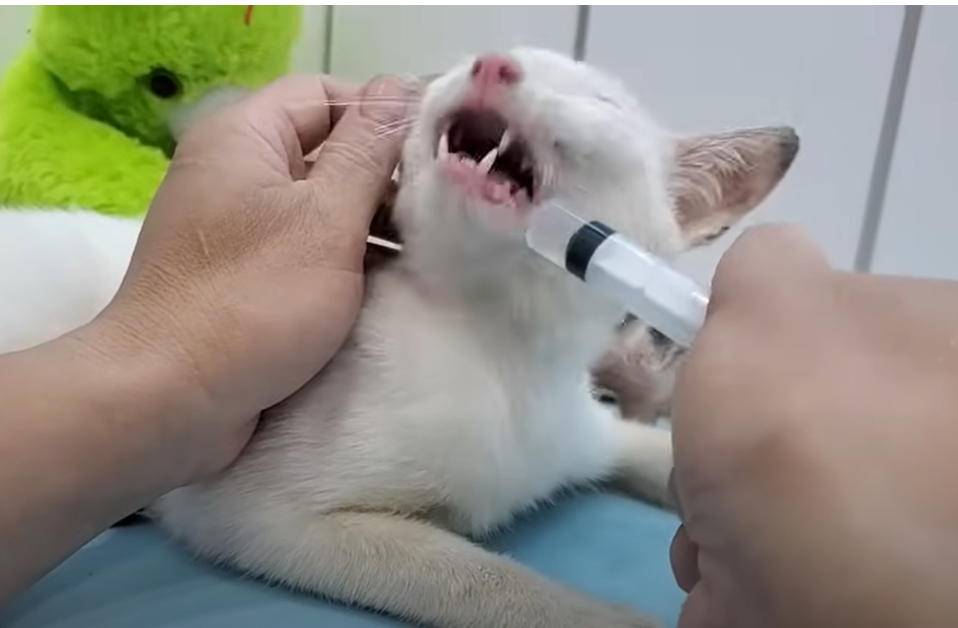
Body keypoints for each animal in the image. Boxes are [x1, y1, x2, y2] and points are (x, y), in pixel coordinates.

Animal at [0, 47, 800, 628]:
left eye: (602, 103)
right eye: (461, 66)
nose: (491, 64)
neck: (501, 345)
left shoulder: (585, 428)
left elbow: (659, 450)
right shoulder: (258, 517)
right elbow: (487, 582)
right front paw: (613, 619)